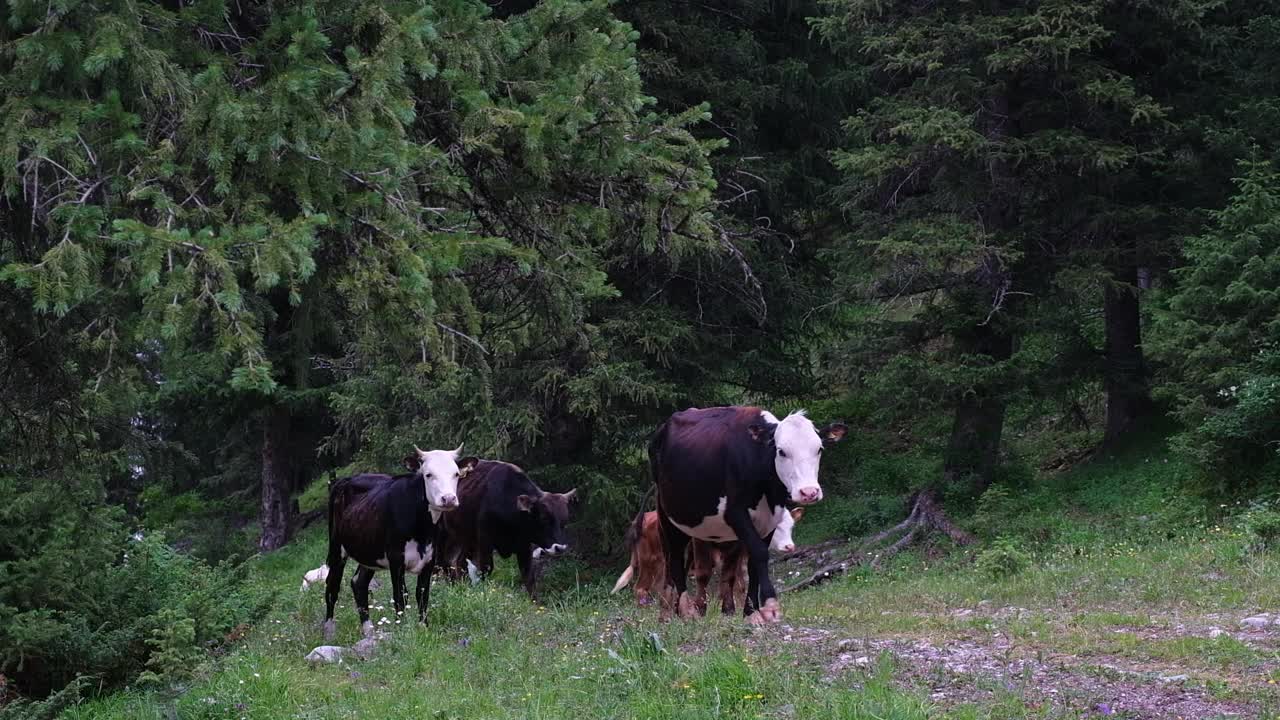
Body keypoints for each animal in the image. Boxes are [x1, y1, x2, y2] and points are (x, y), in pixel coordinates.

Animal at [322, 443, 478, 638]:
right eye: (428, 474)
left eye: (456, 474)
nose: (448, 499)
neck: (422, 530)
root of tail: (346, 480)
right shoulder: (396, 558)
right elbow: (400, 595)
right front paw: (402, 630)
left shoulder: (430, 558)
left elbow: (422, 594)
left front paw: (423, 628)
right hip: (337, 547)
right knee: (332, 586)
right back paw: (329, 631)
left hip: (369, 551)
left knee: (359, 584)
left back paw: (369, 631)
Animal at [440, 456, 581, 597]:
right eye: (544, 518)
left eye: (564, 522)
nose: (560, 548)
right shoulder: (485, 541)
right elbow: (486, 568)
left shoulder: (524, 546)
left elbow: (528, 577)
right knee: (446, 560)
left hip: (467, 538)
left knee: (460, 561)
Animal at [606, 502, 798, 607]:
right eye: (776, 527)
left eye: (791, 526)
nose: (789, 547)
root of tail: (643, 517)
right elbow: (737, 581)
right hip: (651, 559)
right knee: (640, 588)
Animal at [650, 407, 849, 620]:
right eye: (781, 451)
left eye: (819, 449)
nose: (809, 492)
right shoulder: (735, 513)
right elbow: (760, 553)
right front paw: (770, 605)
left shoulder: (770, 520)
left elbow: (753, 563)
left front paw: (750, 611)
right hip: (669, 516)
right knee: (675, 560)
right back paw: (684, 610)